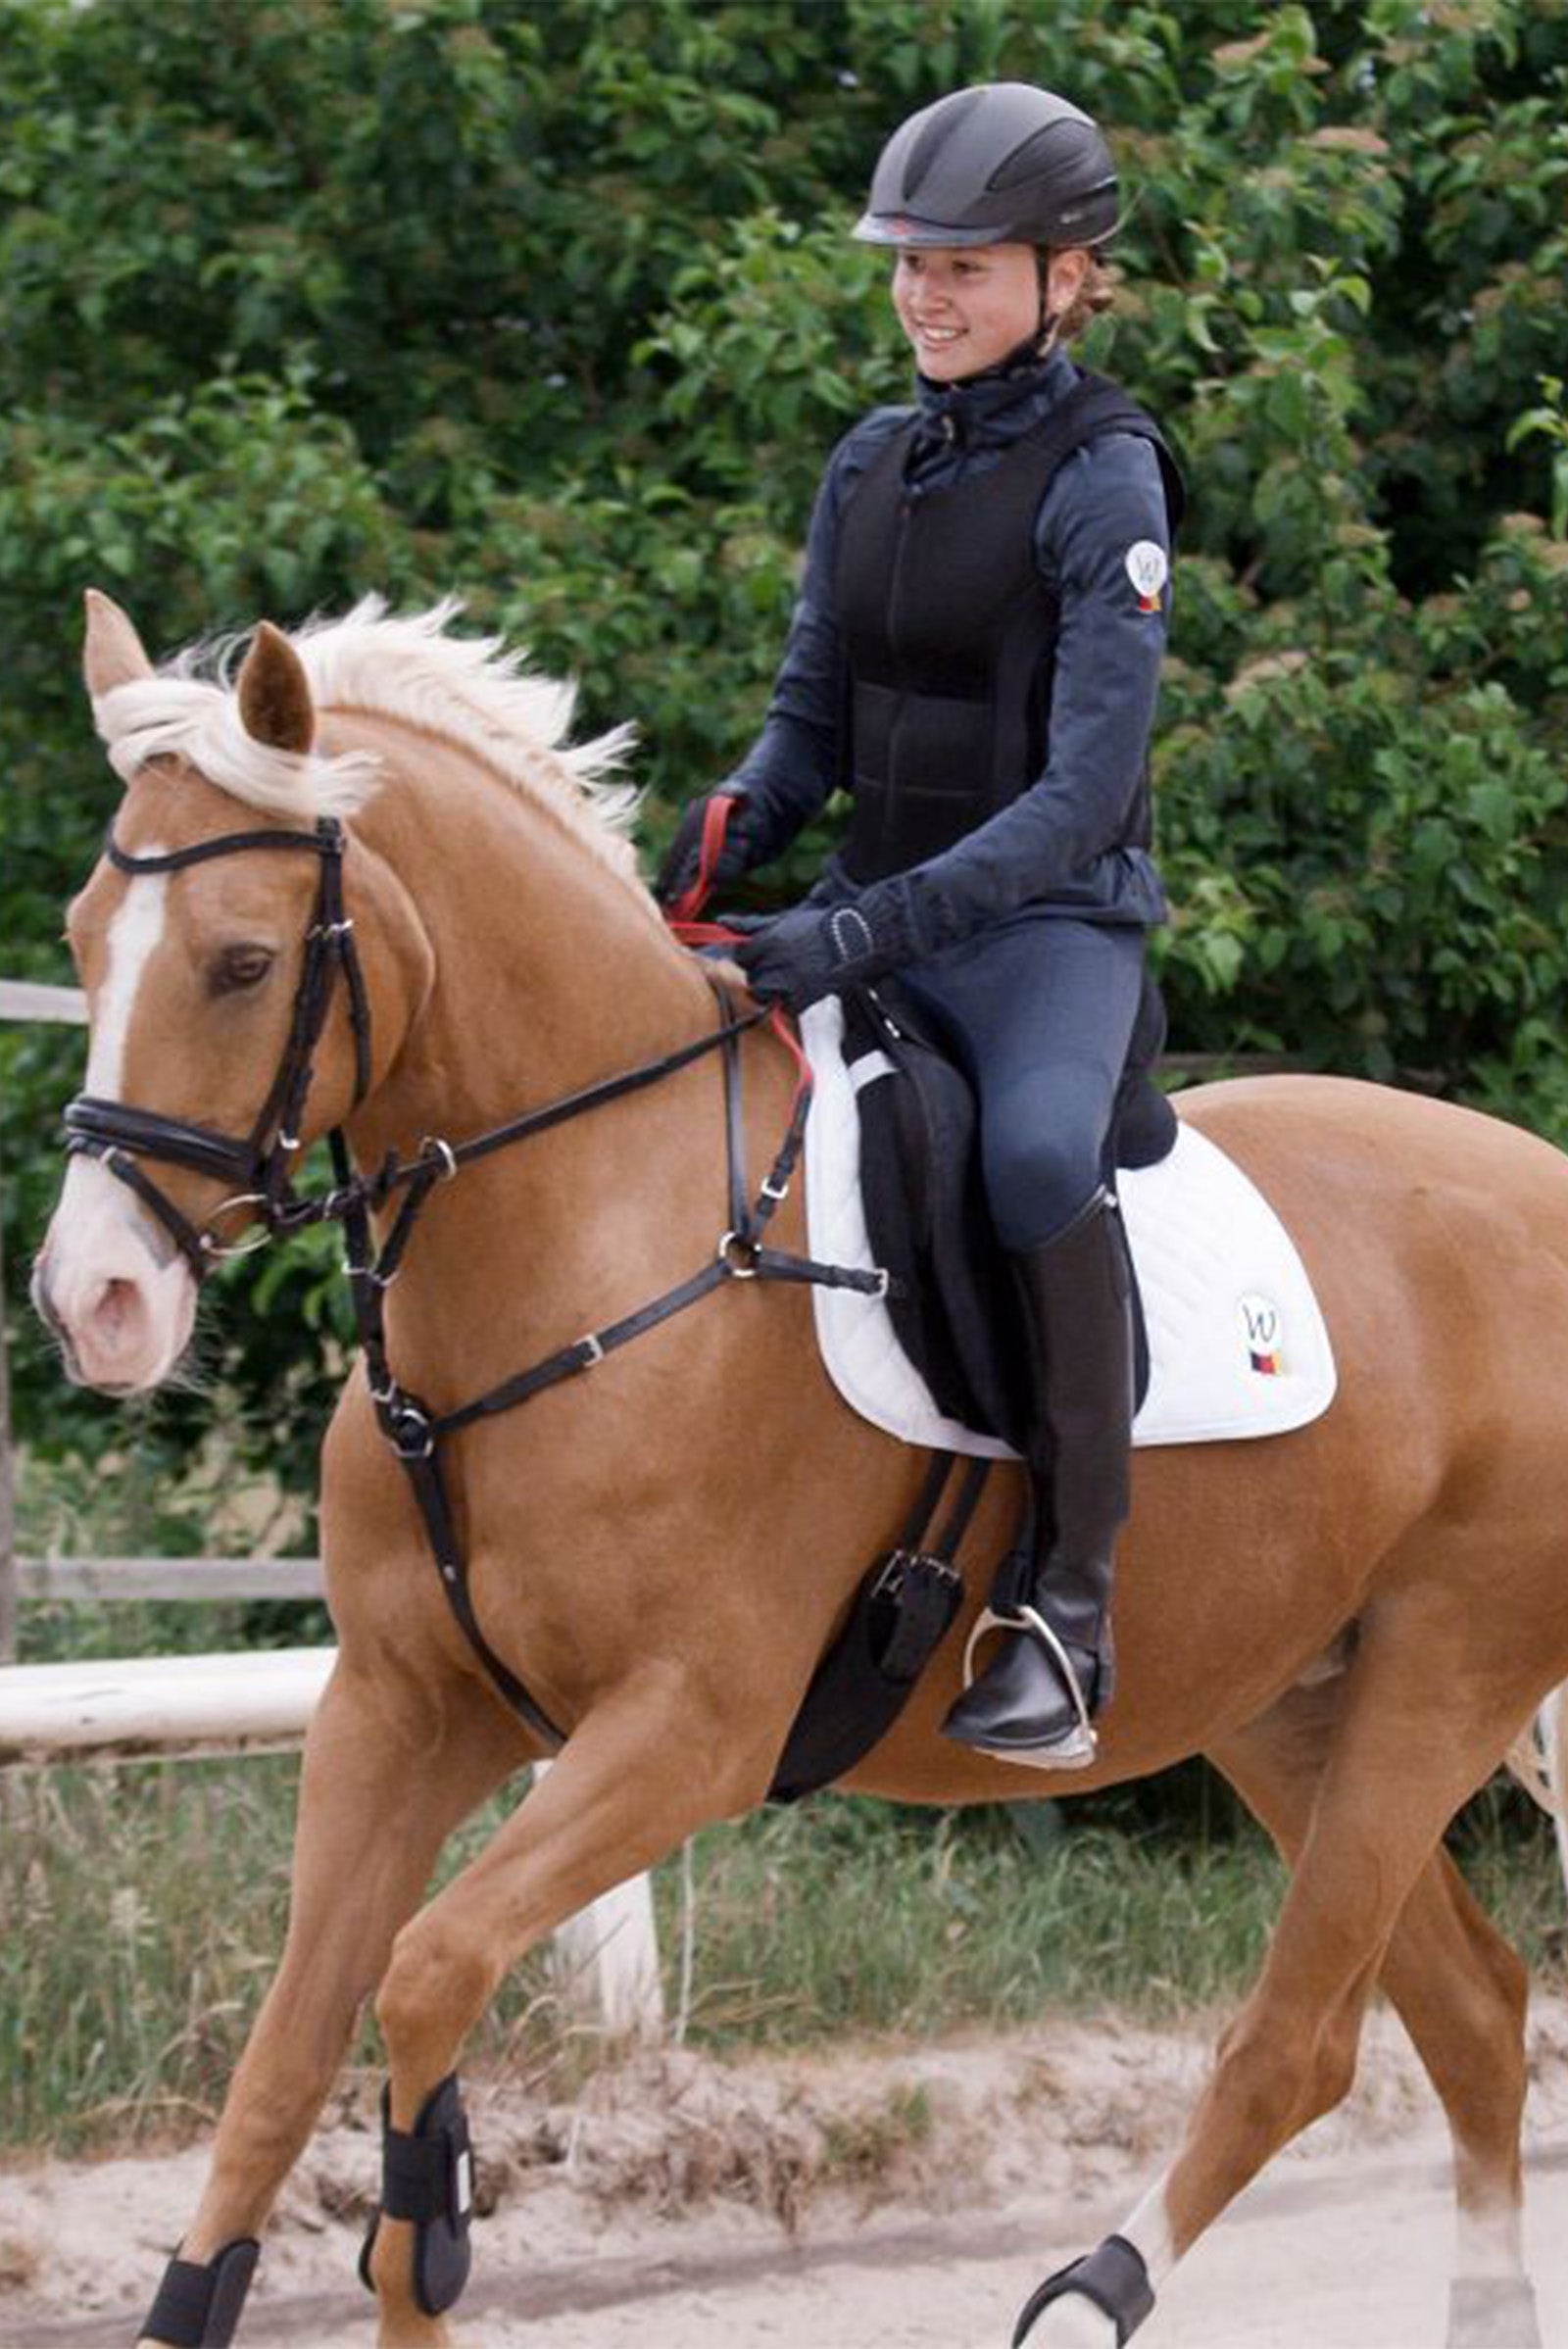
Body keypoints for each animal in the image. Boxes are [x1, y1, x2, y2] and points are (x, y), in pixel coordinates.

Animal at [31, 588, 1568, 2349]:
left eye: (243, 961)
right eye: (83, 938)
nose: (94, 1301)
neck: (579, 1241)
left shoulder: (687, 1732)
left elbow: (425, 1978)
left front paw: (437, 2222)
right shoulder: (399, 1707)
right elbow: (284, 2058)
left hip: (1438, 1678)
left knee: (1298, 2043)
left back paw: (1088, 2295)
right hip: (1287, 1701)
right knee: (1469, 2007)